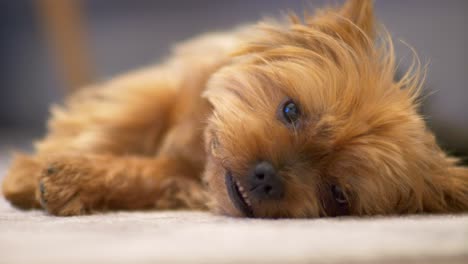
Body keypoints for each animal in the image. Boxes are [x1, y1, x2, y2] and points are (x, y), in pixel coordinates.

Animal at [0, 0, 468, 218]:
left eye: (338, 194)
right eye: (290, 110)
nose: (267, 178)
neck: (199, 151)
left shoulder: (182, 179)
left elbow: (142, 172)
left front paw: (73, 179)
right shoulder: (169, 85)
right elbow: (117, 126)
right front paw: (30, 171)